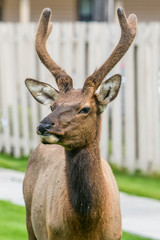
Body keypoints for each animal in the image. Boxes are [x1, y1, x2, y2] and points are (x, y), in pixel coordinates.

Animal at [23, 7, 137, 240]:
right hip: (30, 220)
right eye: (53, 106)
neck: (87, 227)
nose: (43, 126)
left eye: (85, 108)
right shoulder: (52, 234)